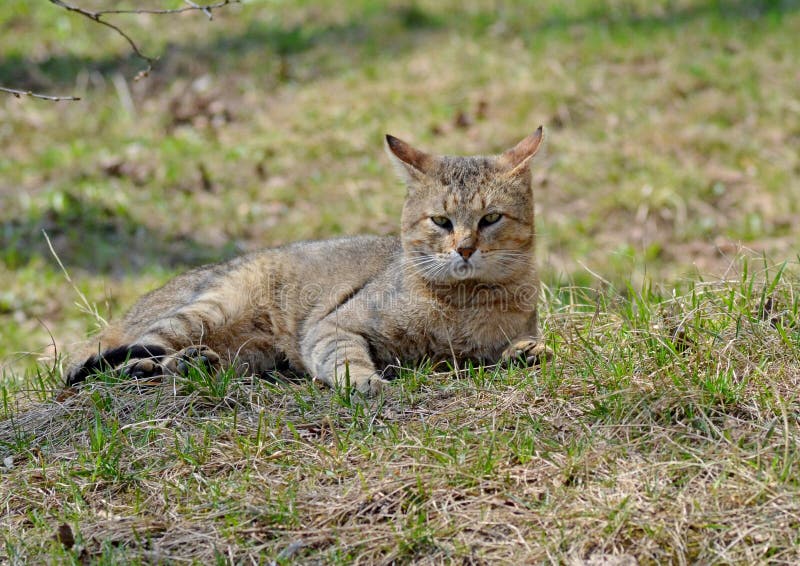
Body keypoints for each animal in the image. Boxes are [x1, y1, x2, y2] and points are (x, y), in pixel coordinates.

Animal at [65, 127, 552, 398]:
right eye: (441, 220)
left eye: (490, 219)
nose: (465, 248)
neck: (463, 304)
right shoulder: (332, 326)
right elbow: (345, 358)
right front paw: (365, 381)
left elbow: (514, 345)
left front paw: (524, 350)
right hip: (202, 312)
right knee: (101, 365)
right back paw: (164, 364)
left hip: (247, 356)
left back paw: (193, 364)